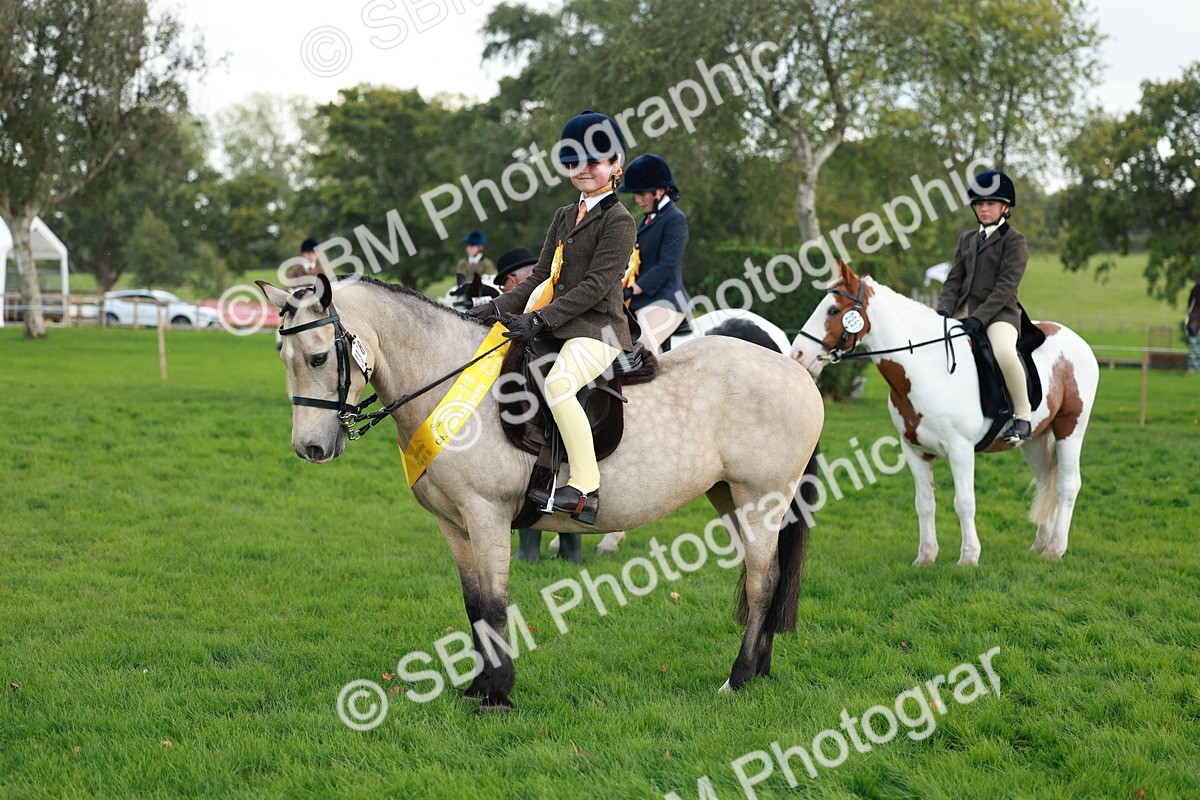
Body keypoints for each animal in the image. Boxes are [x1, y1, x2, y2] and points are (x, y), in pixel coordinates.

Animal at [258, 274, 824, 710]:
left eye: (316, 358)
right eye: (281, 354)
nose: (310, 448)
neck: (449, 383)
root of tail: (793, 368)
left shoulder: (486, 515)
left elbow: (494, 604)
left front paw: (498, 696)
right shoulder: (454, 524)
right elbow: (473, 604)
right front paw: (477, 688)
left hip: (762, 497)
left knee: (763, 582)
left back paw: (739, 678)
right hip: (729, 497)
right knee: (764, 575)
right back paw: (761, 670)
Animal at [791, 262, 1098, 565]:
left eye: (833, 310)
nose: (798, 356)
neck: (926, 366)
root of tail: (1078, 341)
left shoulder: (960, 449)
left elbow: (964, 503)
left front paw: (969, 557)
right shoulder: (914, 450)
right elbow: (925, 504)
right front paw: (926, 557)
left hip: (1070, 430)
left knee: (1068, 486)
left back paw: (1055, 549)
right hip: (1034, 440)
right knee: (1045, 481)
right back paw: (1040, 545)